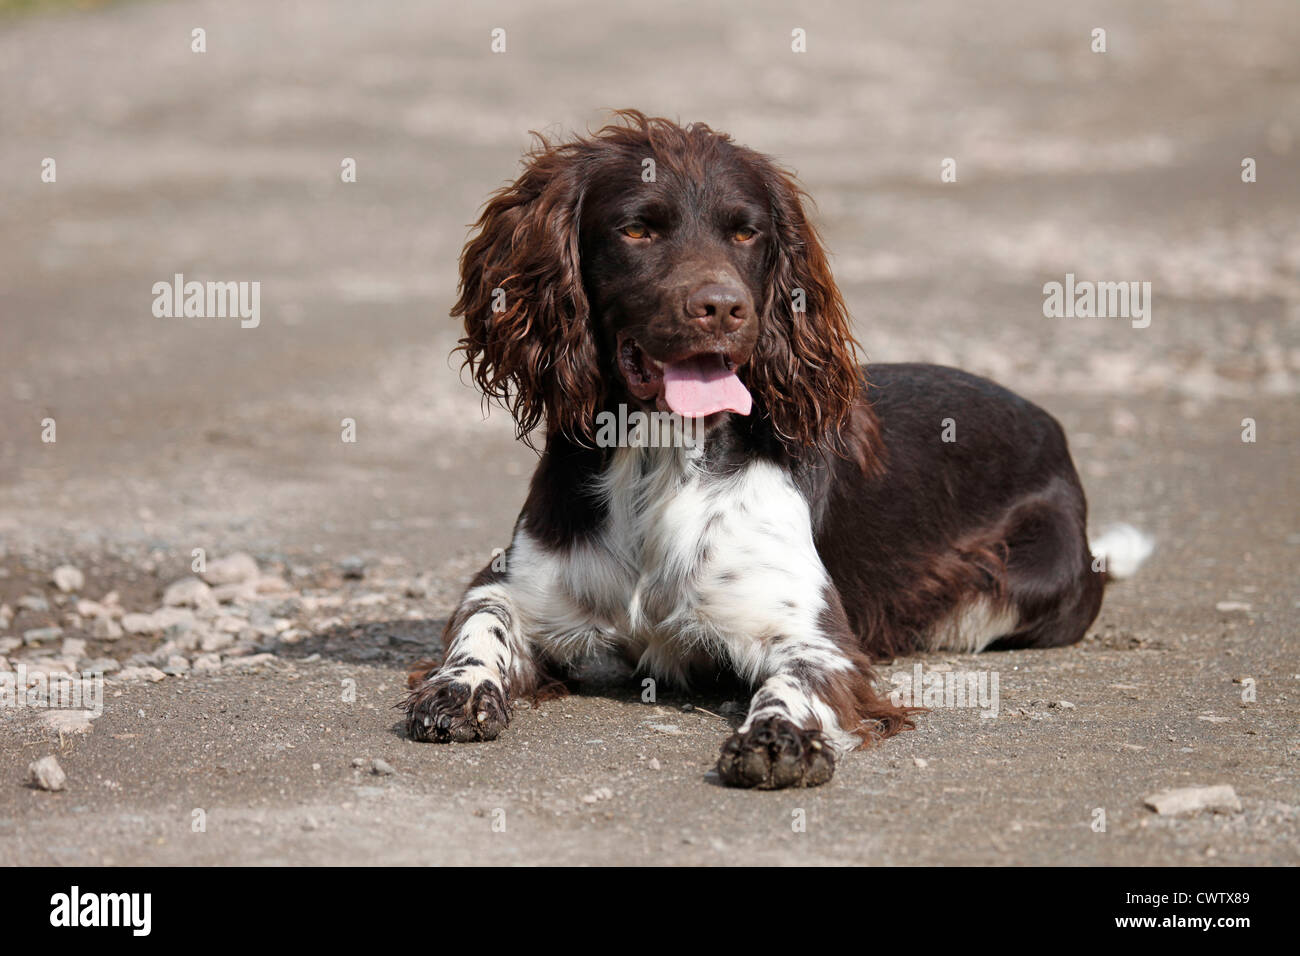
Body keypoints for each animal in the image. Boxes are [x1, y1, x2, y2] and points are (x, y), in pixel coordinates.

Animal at [400, 111, 1154, 790]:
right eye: (637, 228)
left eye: (746, 231)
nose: (723, 307)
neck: (661, 461)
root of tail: (1053, 429)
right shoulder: (514, 582)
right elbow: (483, 620)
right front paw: (458, 688)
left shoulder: (817, 635)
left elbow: (798, 680)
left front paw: (779, 737)